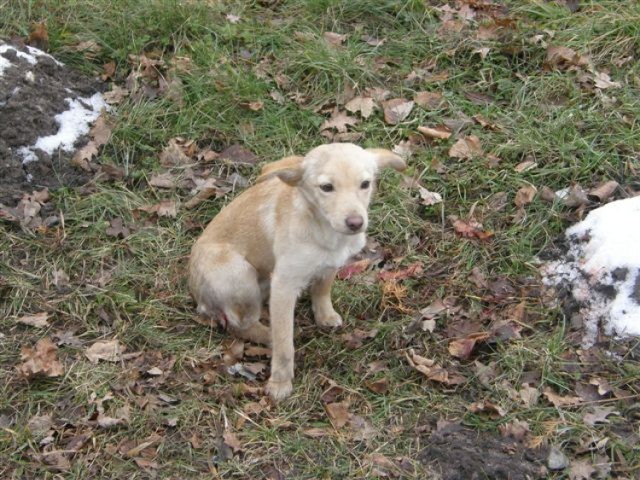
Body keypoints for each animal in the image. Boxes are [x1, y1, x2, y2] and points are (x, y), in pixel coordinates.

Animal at [189, 142, 404, 402]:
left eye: (365, 184)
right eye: (326, 187)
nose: (355, 223)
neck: (322, 229)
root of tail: (196, 293)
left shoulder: (330, 265)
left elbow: (322, 290)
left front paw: (324, 315)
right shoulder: (283, 286)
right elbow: (284, 345)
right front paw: (280, 382)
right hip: (238, 274)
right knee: (242, 326)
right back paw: (269, 334)